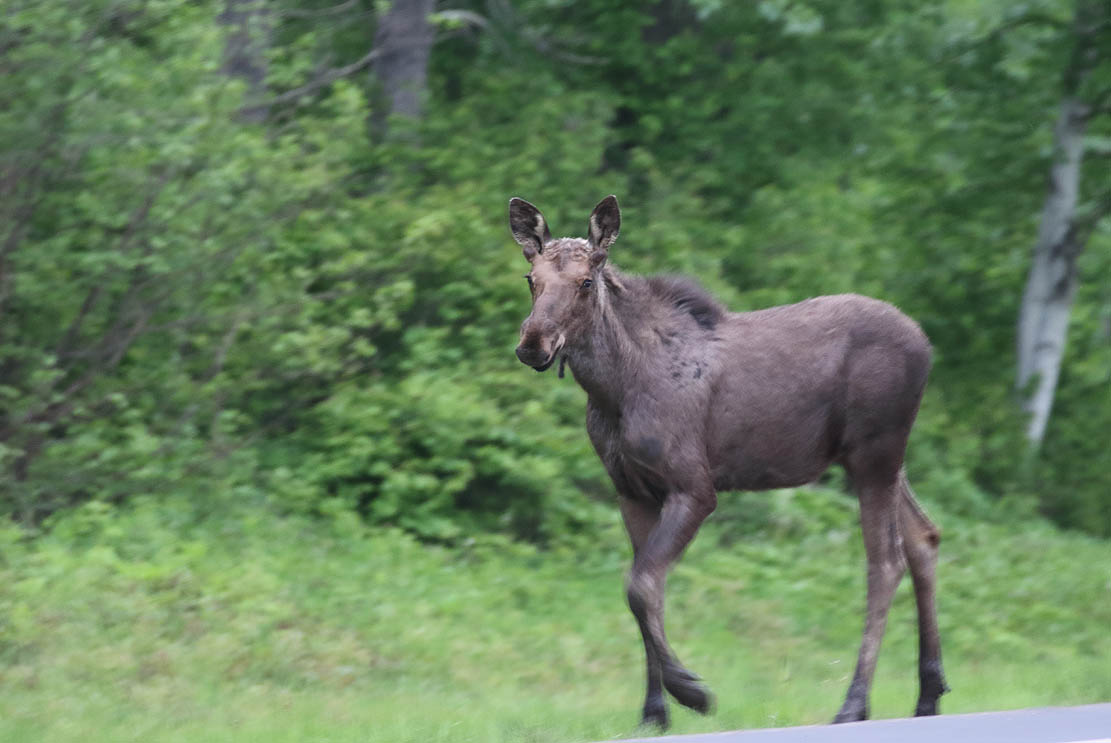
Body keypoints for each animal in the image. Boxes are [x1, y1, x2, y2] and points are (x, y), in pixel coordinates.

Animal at [508, 194, 946, 728]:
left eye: (586, 282)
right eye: (530, 278)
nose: (533, 344)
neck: (613, 390)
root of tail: (927, 347)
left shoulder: (694, 488)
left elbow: (641, 585)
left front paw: (692, 691)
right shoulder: (630, 490)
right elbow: (644, 589)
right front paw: (653, 712)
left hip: (874, 454)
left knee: (885, 562)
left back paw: (854, 704)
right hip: (877, 460)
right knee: (924, 536)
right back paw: (928, 694)